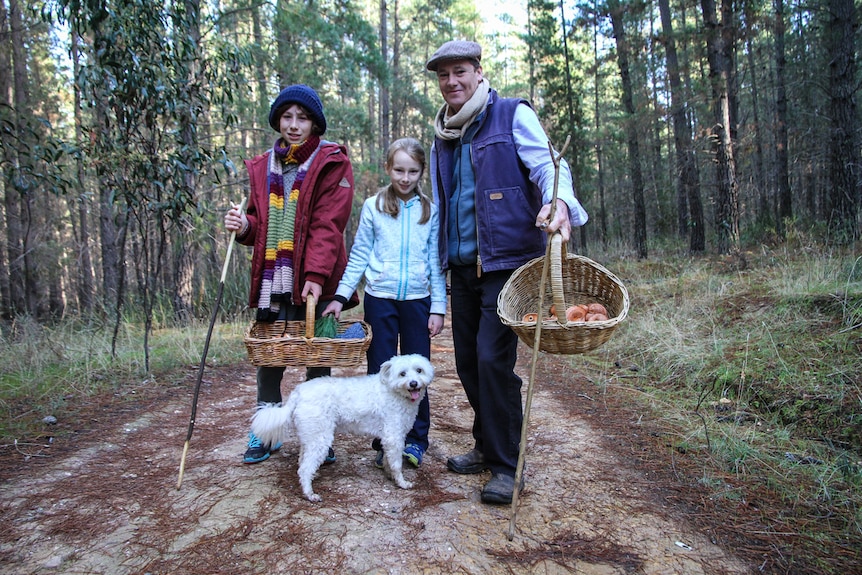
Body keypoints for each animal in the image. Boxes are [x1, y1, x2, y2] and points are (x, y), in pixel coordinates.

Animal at [253, 354, 436, 502]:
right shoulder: (394, 437)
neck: (393, 391)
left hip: (311, 436)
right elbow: (397, 464)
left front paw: (390, 475)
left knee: (302, 461)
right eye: (402, 374)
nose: (413, 383)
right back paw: (310, 494)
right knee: (304, 469)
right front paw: (402, 482)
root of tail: (298, 392)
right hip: (320, 439)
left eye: (419, 370)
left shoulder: (390, 439)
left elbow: (388, 461)